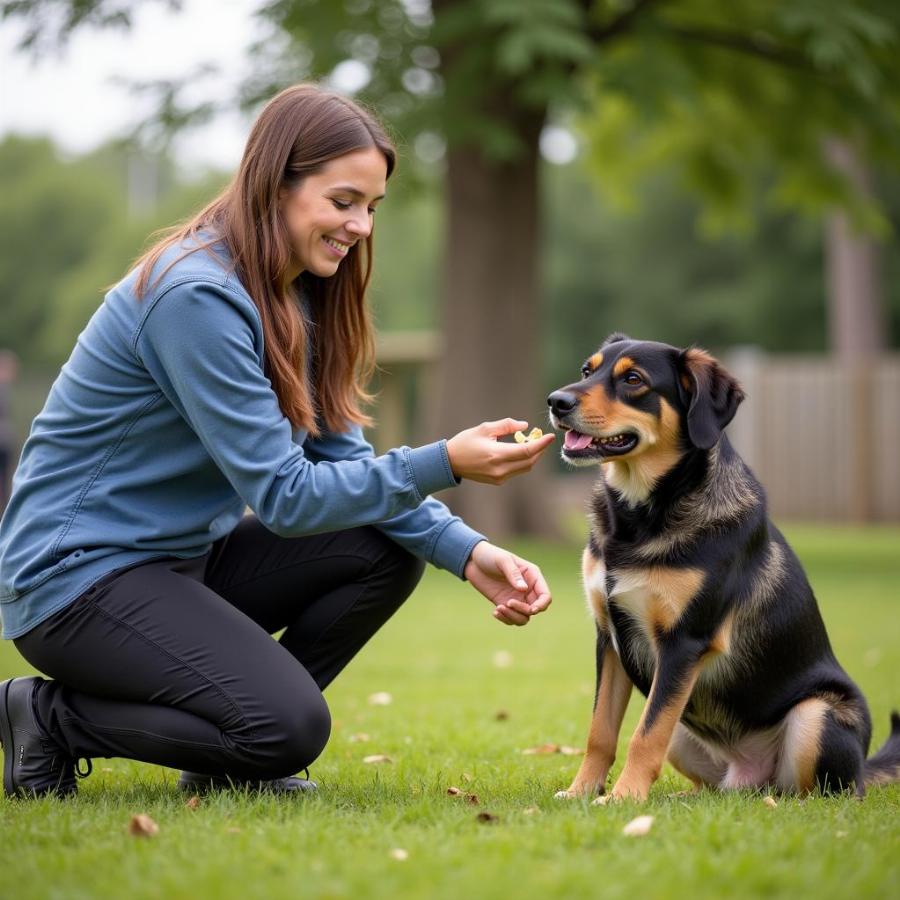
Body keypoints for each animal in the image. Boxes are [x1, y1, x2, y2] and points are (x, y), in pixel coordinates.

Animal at [544, 334, 900, 800]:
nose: (556, 401)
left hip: (814, 716)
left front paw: (624, 798)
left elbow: (645, 735)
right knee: (722, 790)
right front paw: (582, 793)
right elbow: (600, 732)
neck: (645, 514)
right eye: (588, 371)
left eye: (634, 380)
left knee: (816, 793)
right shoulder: (609, 638)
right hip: (688, 735)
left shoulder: (683, 643)